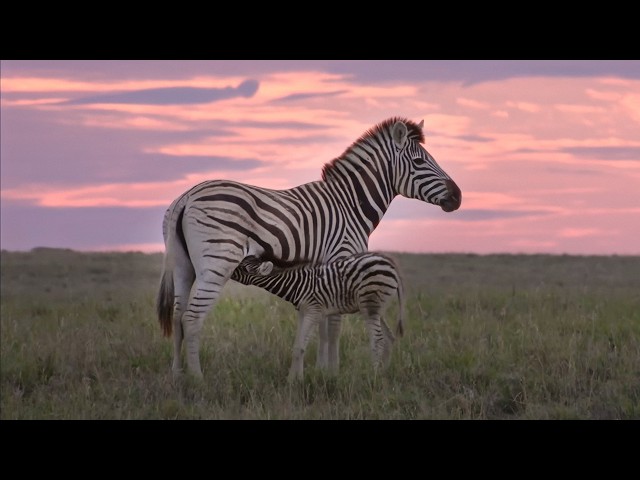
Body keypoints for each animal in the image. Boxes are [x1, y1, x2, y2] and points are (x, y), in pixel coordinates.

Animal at [231, 252, 405, 381]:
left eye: (244, 268)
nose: (229, 271)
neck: (297, 284)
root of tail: (391, 264)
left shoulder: (313, 311)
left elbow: (300, 348)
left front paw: (296, 383)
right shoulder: (303, 312)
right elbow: (296, 345)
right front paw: (292, 379)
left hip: (370, 306)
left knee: (378, 339)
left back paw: (373, 377)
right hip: (377, 308)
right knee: (389, 337)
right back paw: (383, 373)